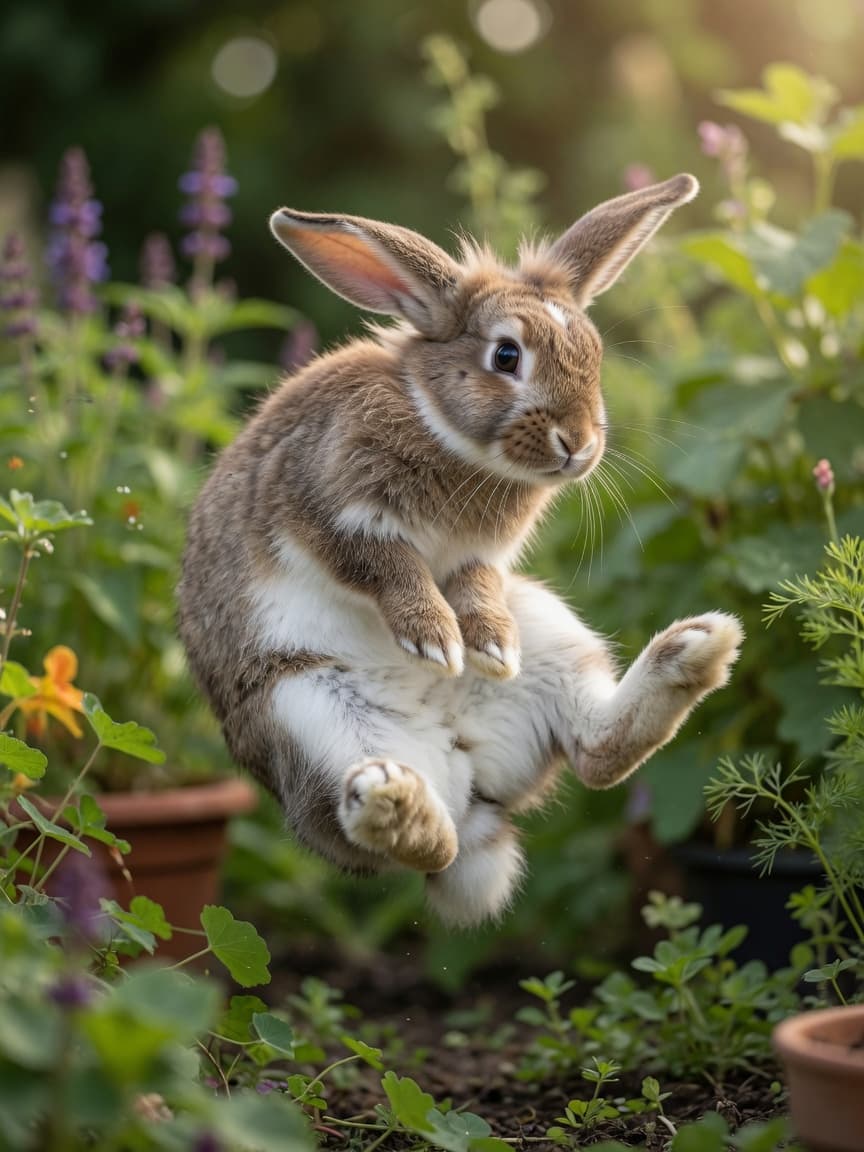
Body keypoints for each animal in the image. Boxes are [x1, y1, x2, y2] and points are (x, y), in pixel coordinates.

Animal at [178, 173, 743, 927]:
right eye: (507, 356)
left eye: (593, 354)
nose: (578, 444)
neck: (443, 427)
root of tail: (469, 776)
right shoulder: (329, 514)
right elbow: (391, 569)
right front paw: (435, 640)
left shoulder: (486, 562)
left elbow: (474, 587)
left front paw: (486, 646)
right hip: (309, 719)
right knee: (427, 844)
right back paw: (394, 802)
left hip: (550, 636)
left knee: (593, 752)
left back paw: (696, 648)